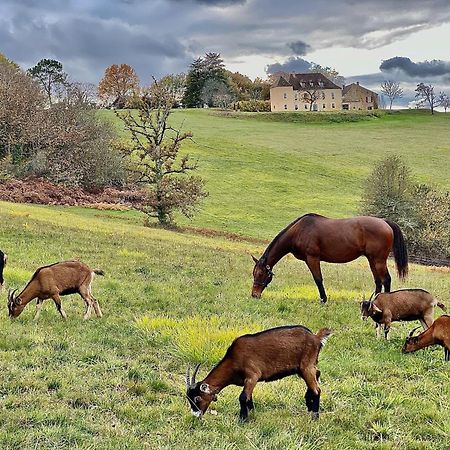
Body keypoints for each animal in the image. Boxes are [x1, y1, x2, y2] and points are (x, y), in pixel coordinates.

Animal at [185, 324, 330, 422]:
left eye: (197, 398)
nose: (195, 415)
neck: (234, 359)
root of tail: (316, 337)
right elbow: (249, 397)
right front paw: (252, 413)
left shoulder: (252, 375)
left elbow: (243, 397)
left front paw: (242, 419)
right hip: (304, 367)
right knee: (317, 374)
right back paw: (309, 404)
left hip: (306, 366)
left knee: (317, 389)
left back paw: (315, 416)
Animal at [251, 214, 410, 302]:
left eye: (260, 274)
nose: (254, 295)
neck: (299, 231)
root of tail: (385, 222)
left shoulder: (312, 258)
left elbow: (318, 280)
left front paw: (323, 299)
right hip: (372, 260)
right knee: (378, 281)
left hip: (378, 260)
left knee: (386, 280)